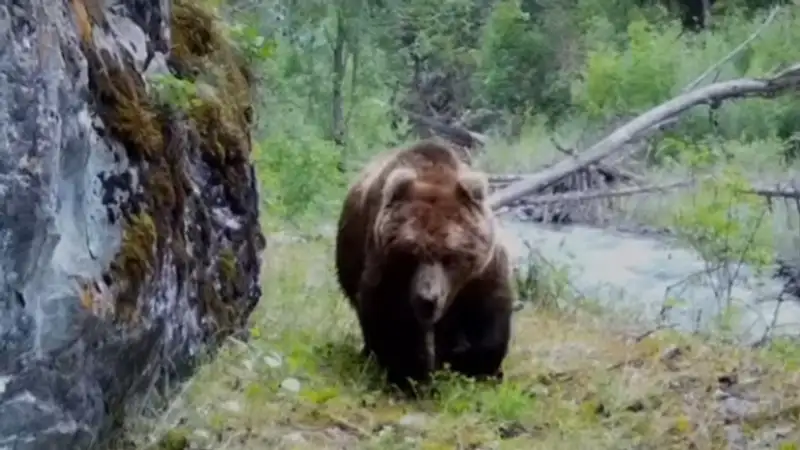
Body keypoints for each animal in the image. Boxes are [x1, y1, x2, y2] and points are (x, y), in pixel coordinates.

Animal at [334, 138, 516, 394]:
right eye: (411, 254)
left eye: (450, 256)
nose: (427, 299)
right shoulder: (388, 271)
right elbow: (394, 320)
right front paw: (411, 377)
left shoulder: (480, 272)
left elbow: (485, 313)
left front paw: (478, 369)